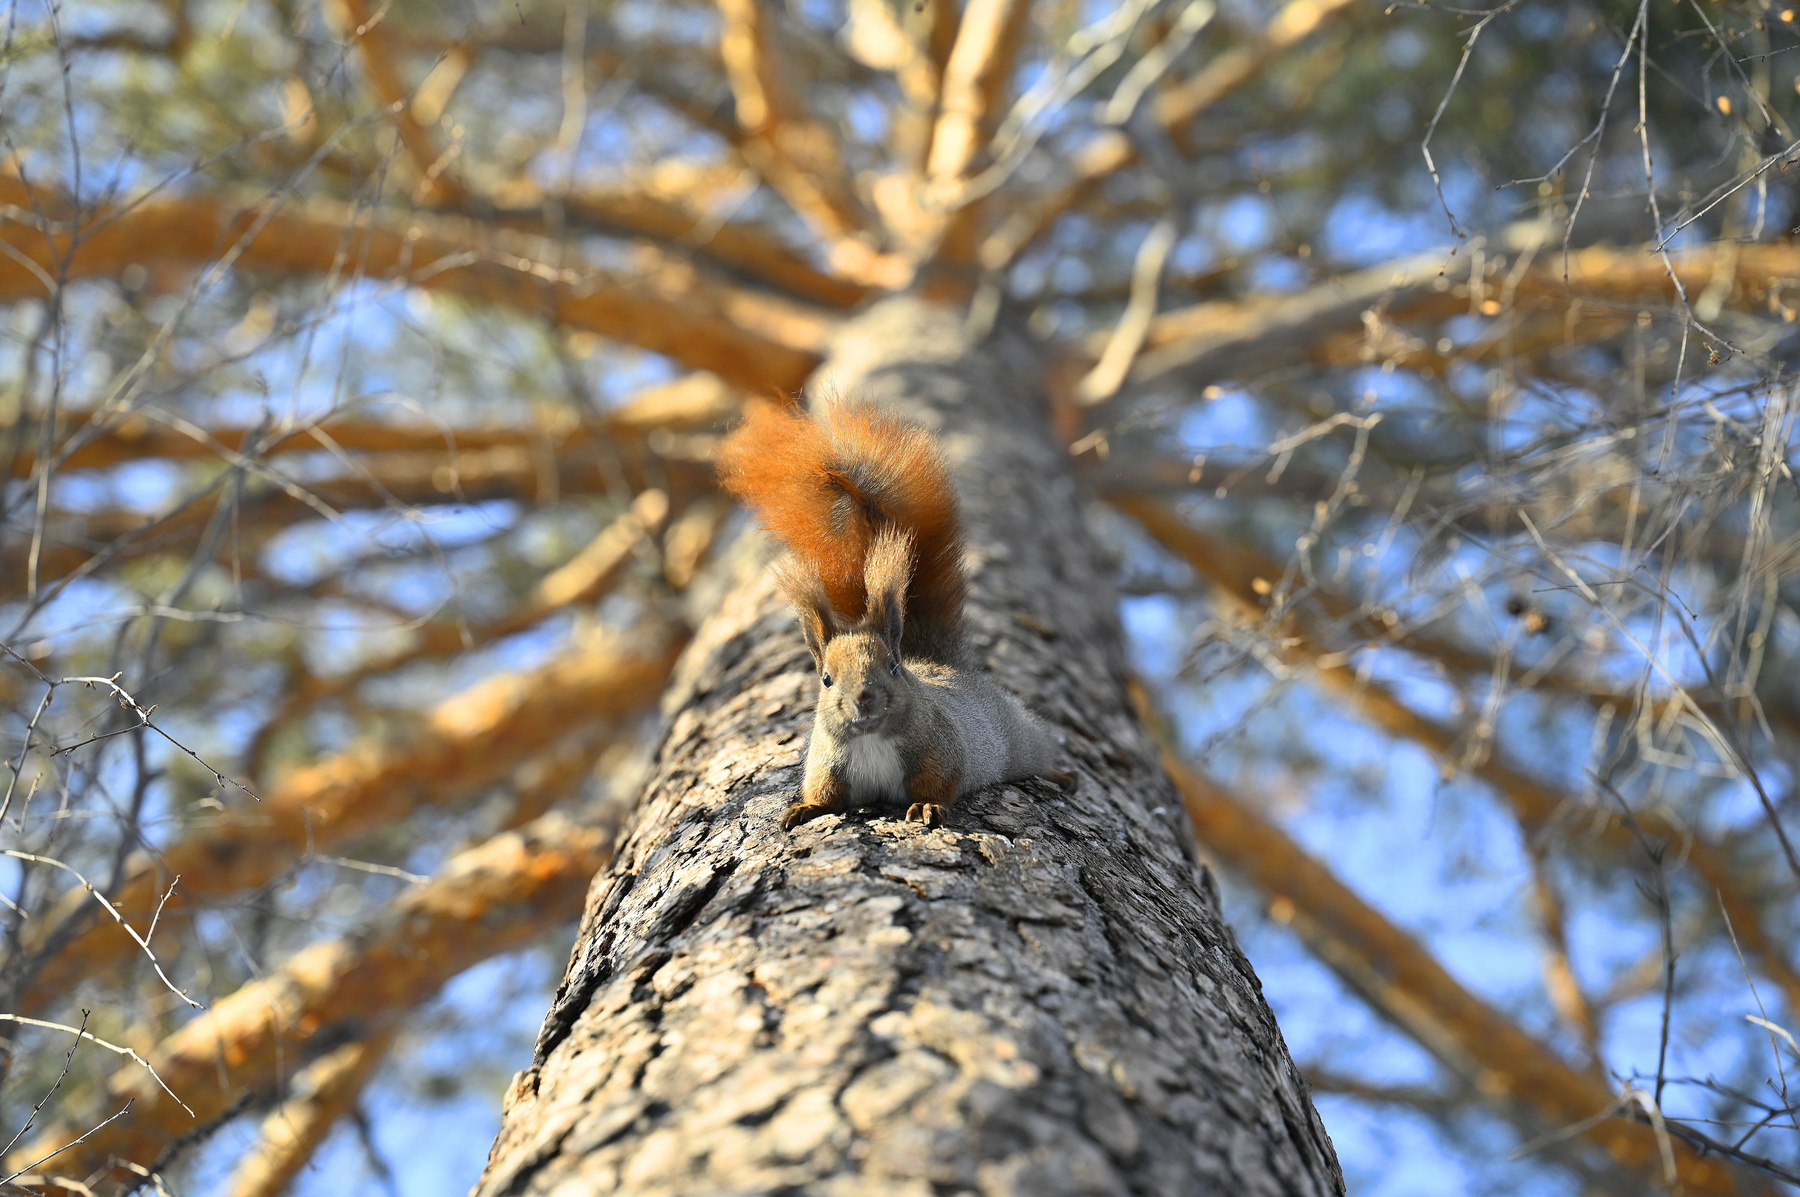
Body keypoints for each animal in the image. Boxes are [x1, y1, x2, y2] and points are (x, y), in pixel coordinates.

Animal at [718, 396, 1063, 831]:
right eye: (826, 680)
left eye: (893, 668)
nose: (864, 698)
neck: (870, 739)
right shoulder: (827, 765)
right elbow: (826, 795)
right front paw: (804, 808)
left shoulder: (941, 750)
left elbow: (940, 784)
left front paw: (929, 806)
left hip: (1020, 738)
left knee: (1041, 748)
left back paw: (1062, 774)